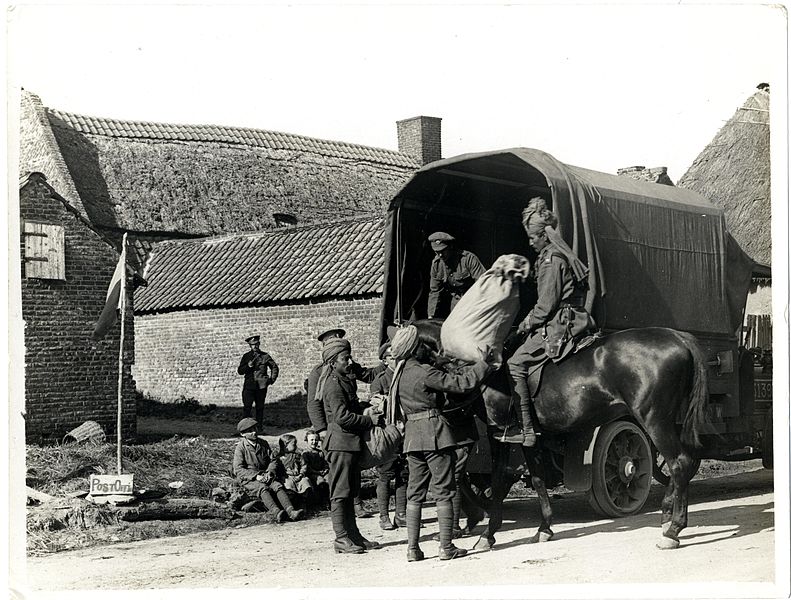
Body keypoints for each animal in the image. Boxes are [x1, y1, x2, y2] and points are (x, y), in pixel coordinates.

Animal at [412, 322, 708, 552]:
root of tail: (677, 336)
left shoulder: (499, 435)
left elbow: (497, 481)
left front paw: (488, 534)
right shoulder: (531, 438)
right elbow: (537, 478)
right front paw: (544, 528)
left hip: (655, 421)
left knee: (679, 463)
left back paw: (673, 530)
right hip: (671, 422)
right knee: (686, 463)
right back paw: (667, 515)